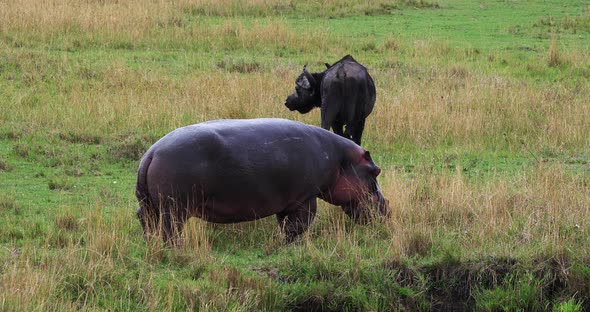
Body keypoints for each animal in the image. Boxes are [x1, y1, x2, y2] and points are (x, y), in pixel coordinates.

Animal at [136, 118, 390, 243]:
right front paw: (289, 243)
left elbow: (286, 223)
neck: (340, 160)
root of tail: (152, 152)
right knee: (170, 229)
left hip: (149, 205)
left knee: (146, 220)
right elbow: (301, 223)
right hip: (175, 207)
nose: (388, 208)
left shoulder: (288, 200)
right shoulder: (305, 197)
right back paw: (176, 247)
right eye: (375, 171)